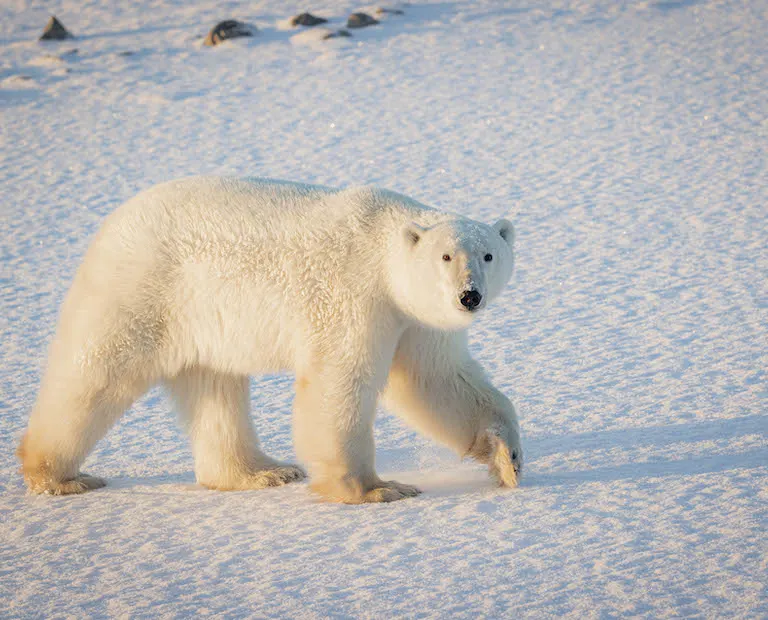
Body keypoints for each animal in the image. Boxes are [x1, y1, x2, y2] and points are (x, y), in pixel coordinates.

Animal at [18, 177, 522, 503]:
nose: (469, 296)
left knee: (215, 387)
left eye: (488, 254)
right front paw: (376, 488)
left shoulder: (414, 319)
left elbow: (434, 380)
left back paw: (263, 472)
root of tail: (113, 222)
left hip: (200, 313)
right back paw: (59, 476)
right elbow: (341, 382)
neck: (382, 249)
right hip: (143, 287)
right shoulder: (355, 297)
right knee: (98, 371)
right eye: (445, 256)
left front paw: (507, 456)